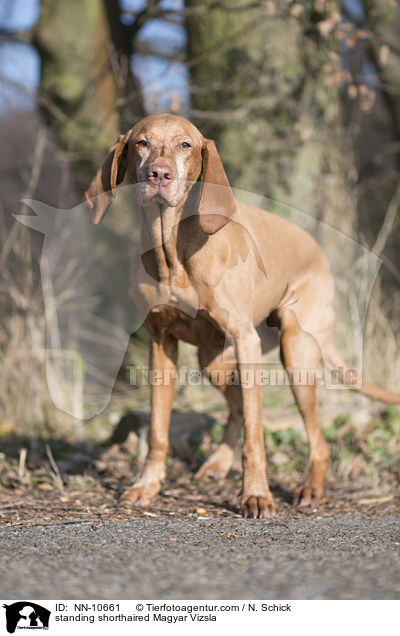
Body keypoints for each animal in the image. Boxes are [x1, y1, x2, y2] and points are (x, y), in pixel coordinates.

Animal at [85, 113, 400, 516]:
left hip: (295, 351)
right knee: (235, 406)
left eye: (186, 145)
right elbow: (157, 429)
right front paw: (147, 485)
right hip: (213, 360)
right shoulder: (161, 344)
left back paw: (310, 486)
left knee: (317, 438)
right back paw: (218, 462)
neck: (173, 250)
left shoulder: (244, 340)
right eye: (141, 142)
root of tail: (317, 249)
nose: (159, 174)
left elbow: (255, 436)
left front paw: (256, 494)